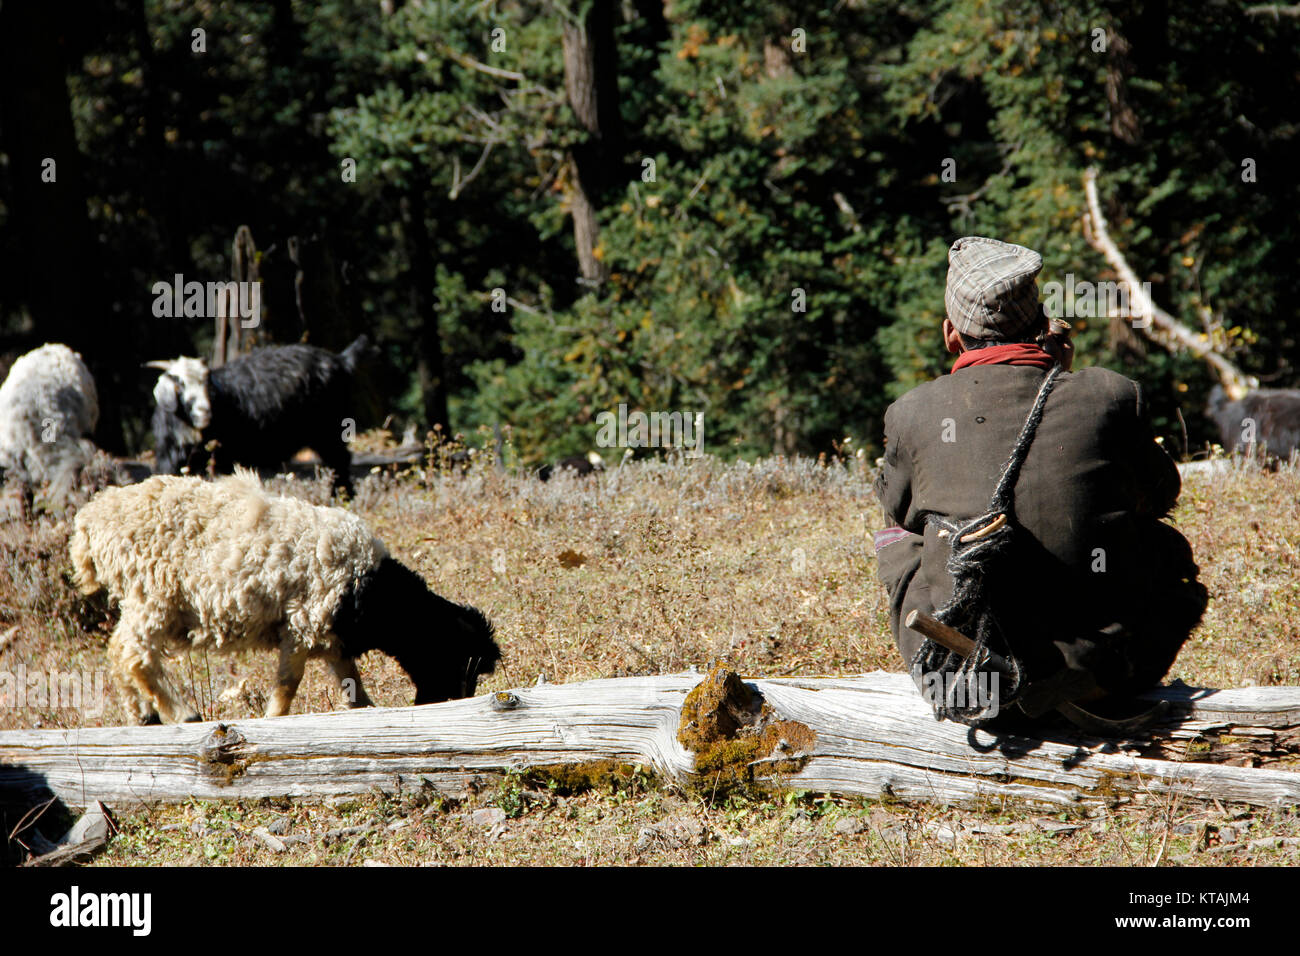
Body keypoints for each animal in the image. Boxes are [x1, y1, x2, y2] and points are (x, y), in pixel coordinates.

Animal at [68, 470, 499, 723]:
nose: (438, 704)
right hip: (152, 594)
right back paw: (180, 713)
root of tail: (91, 518)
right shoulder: (304, 622)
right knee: (132, 652)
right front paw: (275, 720)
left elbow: (350, 683)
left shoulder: (332, 636)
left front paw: (366, 712)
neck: (370, 588)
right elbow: (289, 683)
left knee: (119, 652)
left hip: (141, 598)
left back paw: (145, 714)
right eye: (459, 660)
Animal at [154, 335, 377, 494]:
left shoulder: (225, 458)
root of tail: (339, 359)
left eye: (206, 384)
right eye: (180, 385)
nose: (204, 411)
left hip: (330, 430)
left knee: (339, 460)